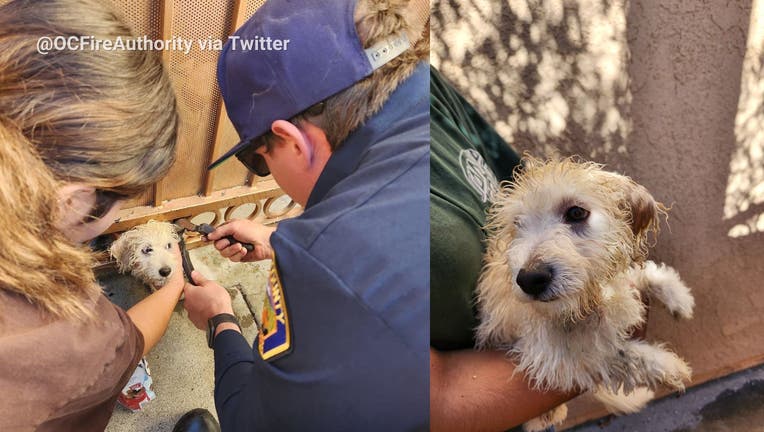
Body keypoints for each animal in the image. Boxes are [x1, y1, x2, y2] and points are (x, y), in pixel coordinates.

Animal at [478, 157, 700, 430]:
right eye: (517, 223)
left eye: (576, 213)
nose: (529, 280)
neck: (589, 300)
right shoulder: (555, 358)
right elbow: (616, 353)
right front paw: (669, 365)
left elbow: (639, 275)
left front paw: (678, 296)